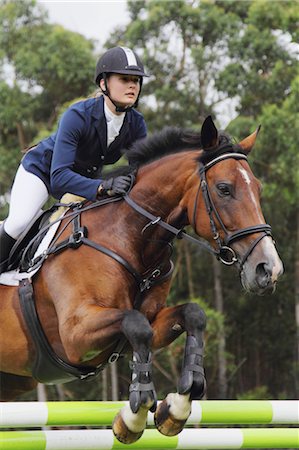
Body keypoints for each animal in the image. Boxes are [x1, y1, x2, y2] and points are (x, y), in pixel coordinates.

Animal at [0, 116, 284, 442]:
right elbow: (136, 325)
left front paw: (176, 408)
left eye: (258, 189)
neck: (128, 236)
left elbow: (191, 315)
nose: (269, 269)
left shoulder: (150, 324)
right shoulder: (75, 337)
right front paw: (134, 415)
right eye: (224, 189)